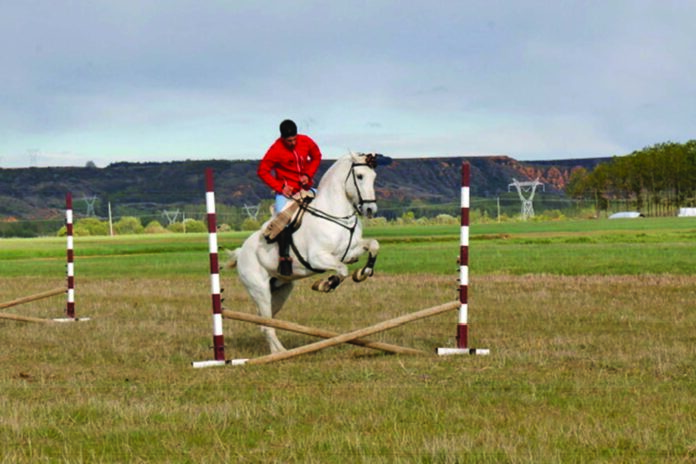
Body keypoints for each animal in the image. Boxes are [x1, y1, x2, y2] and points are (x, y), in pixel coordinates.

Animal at [226, 152, 386, 352]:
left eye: (374, 177)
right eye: (360, 176)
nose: (371, 209)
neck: (337, 215)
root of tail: (241, 252)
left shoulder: (349, 251)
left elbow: (373, 245)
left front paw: (363, 273)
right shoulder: (318, 258)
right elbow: (342, 270)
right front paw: (325, 284)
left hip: (280, 290)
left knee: (266, 323)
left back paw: (276, 352)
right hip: (259, 290)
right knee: (267, 325)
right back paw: (282, 353)